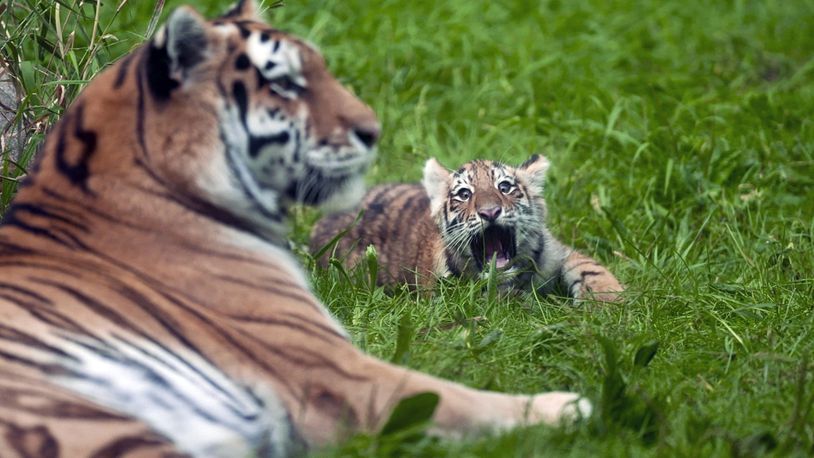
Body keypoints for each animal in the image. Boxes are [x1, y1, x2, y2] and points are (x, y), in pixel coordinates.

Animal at [0, 1, 588, 456]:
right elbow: (457, 395)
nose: (373, 130)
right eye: (284, 83)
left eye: (507, 189)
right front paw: (569, 406)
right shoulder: (333, 367)